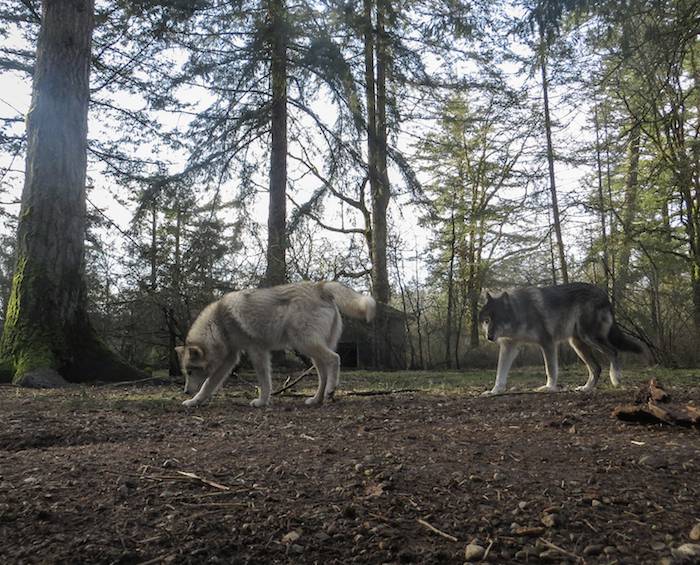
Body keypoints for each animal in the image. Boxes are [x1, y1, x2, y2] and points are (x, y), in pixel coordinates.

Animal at [175, 281, 376, 408]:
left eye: (191, 372)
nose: (185, 392)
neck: (219, 324)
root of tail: (320, 286)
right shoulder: (230, 359)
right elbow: (208, 385)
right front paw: (194, 402)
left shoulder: (257, 352)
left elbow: (264, 381)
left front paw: (261, 402)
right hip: (312, 353)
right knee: (323, 375)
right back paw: (317, 399)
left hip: (306, 344)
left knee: (335, 359)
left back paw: (331, 391)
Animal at [478, 283, 644, 395]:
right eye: (487, 320)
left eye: (498, 320)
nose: (489, 337)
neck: (520, 312)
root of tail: (603, 293)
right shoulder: (509, 347)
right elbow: (500, 373)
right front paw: (494, 391)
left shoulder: (547, 343)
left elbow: (550, 369)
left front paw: (549, 387)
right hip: (577, 344)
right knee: (596, 367)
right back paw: (586, 388)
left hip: (588, 338)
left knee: (613, 352)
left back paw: (616, 378)